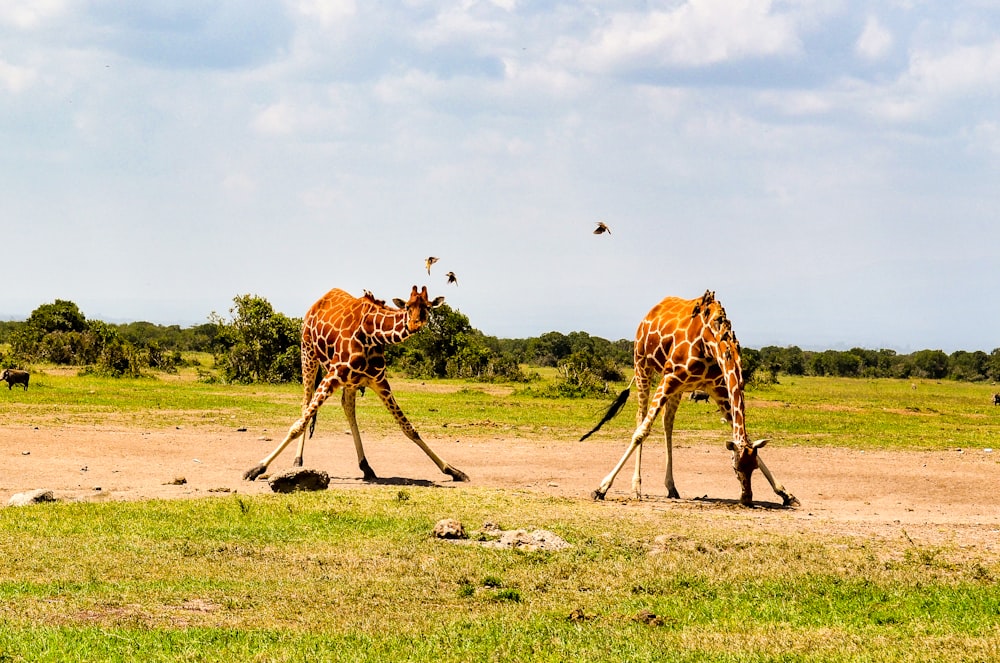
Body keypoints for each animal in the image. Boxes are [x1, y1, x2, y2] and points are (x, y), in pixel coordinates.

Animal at [246, 284, 472, 482]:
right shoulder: (333, 374)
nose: (414, 324)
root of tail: (317, 303)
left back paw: (366, 467)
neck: (372, 334)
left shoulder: (379, 382)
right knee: (305, 404)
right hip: (307, 352)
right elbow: (298, 425)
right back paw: (297, 461)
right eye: (408, 306)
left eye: (427, 307)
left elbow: (408, 427)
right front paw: (256, 468)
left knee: (347, 407)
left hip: (350, 382)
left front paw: (453, 470)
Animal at [580, 292, 796, 508]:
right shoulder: (670, 377)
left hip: (679, 387)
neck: (711, 342)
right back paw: (636, 488)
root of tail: (649, 313)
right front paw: (601, 488)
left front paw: (785, 493)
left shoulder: (717, 388)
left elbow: (745, 436)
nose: (747, 499)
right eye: (735, 468)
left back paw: (671, 487)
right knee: (640, 417)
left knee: (667, 422)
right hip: (642, 366)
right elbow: (642, 432)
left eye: (754, 467)